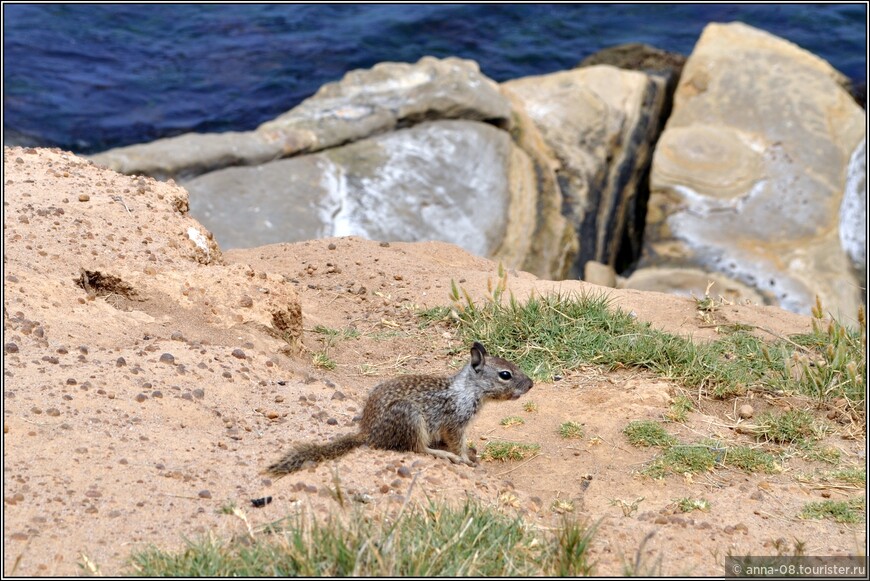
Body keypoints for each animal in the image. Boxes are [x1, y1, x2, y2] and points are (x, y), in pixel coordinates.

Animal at [270, 342, 536, 474]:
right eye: (505, 375)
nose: (531, 384)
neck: (469, 389)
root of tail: (367, 432)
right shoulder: (455, 422)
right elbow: (456, 442)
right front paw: (464, 458)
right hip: (410, 417)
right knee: (417, 449)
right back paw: (443, 455)